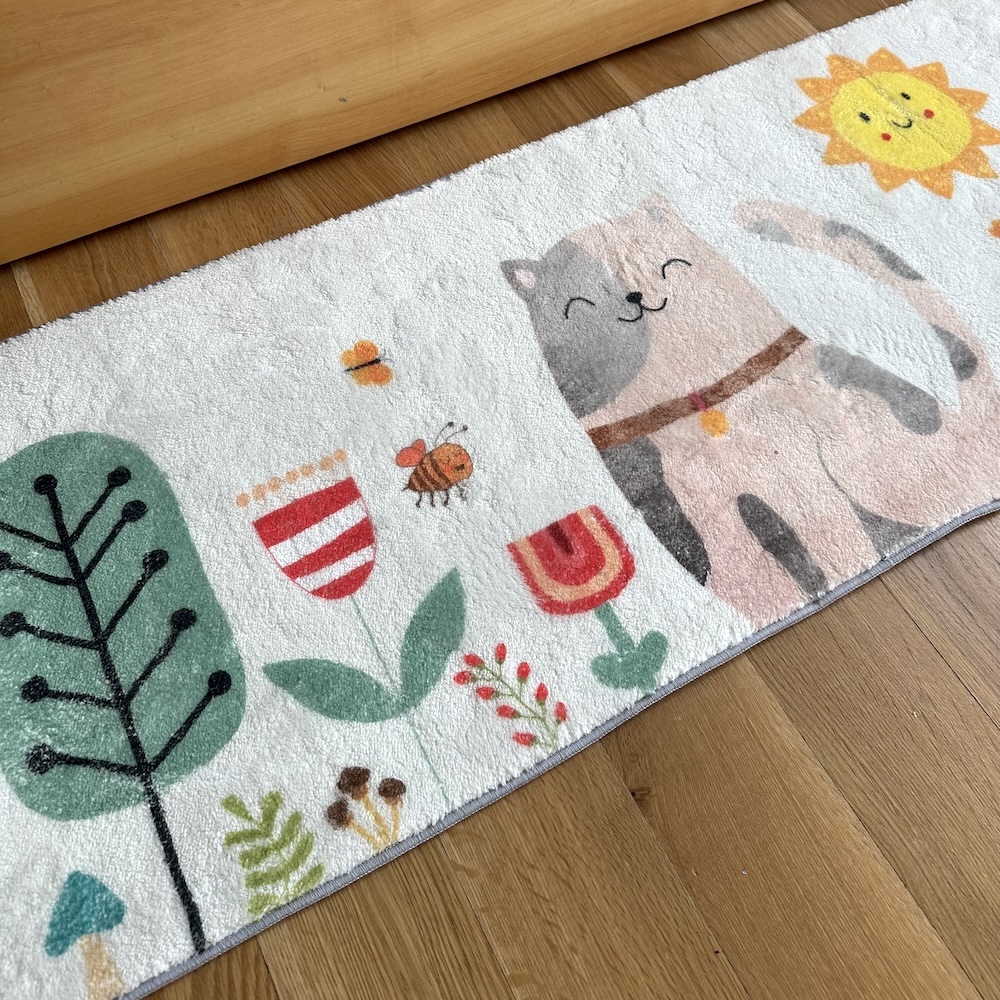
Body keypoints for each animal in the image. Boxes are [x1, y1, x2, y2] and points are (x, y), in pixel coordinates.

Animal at [502, 195, 996, 625]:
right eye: (586, 299)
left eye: (664, 265)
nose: (635, 296)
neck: (701, 394)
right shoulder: (656, 477)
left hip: (880, 459)